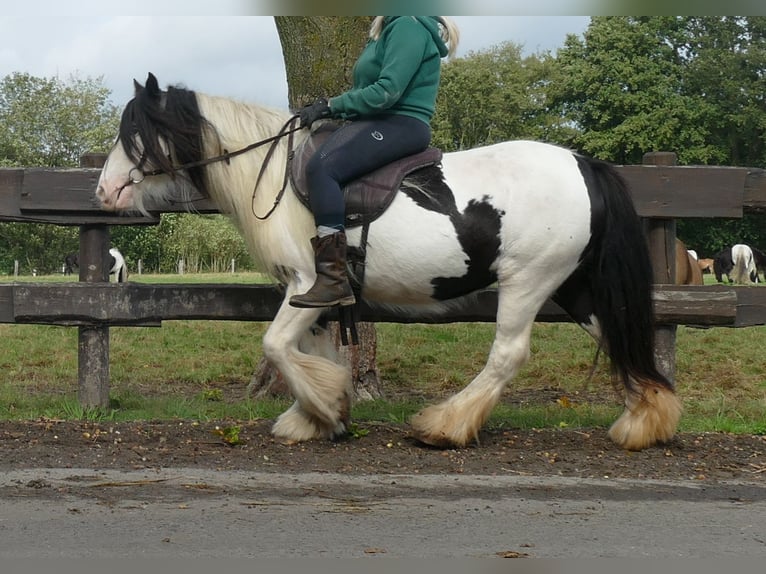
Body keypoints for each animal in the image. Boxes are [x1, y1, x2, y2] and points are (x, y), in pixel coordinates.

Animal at [91, 73, 684, 450]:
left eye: (134, 134)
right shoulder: (316, 295)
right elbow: (314, 351)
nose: (103, 191)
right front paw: (317, 415)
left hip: (529, 282)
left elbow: (276, 345)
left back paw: (446, 425)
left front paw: (325, 409)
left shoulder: (306, 283)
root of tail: (584, 164)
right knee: (618, 337)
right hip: (575, 287)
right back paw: (646, 422)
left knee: (508, 354)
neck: (274, 171)